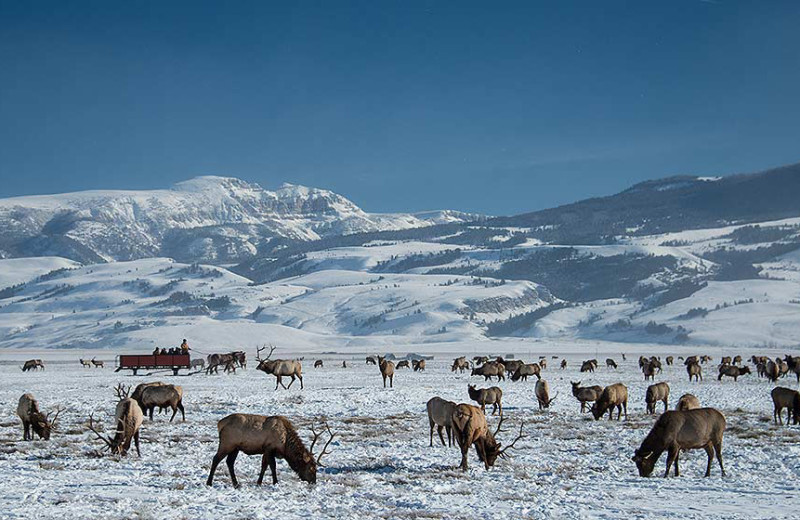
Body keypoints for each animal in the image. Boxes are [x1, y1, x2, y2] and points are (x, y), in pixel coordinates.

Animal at [206, 415, 334, 488]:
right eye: (311, 468)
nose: (313, 482)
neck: (285, 445)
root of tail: (220, 424)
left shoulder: (265, 450)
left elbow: (264, 465)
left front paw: (259, 483)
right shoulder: (269, 448)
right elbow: (272, 466)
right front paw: (275, 482)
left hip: (235, 448)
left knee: (229, 462)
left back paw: (236, 484)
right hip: (227, 443)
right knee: (216, 459)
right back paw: (209, 482)